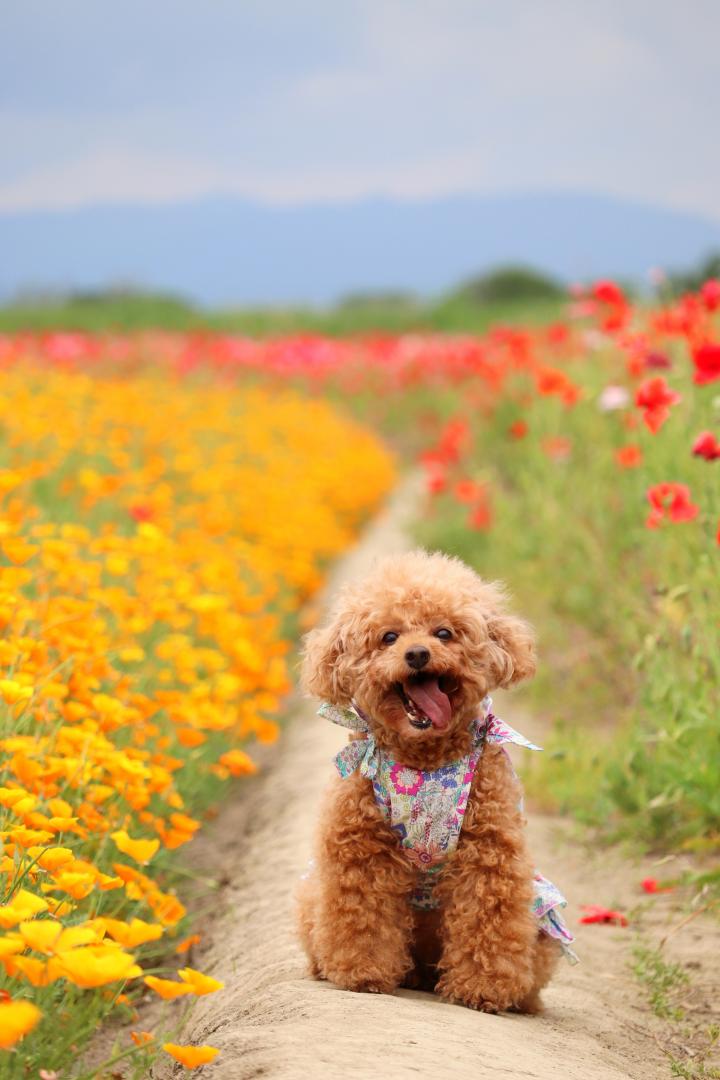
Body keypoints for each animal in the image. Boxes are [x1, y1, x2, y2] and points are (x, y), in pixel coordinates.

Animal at [297, 548, 561, 1010]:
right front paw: (362, 973)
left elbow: (488, 919)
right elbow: (361, 915)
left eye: (444, 633)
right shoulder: (360, 850)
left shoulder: (488, 852)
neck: (423, 763)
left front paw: (482, 987)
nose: (418, 653)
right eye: (388, 637)